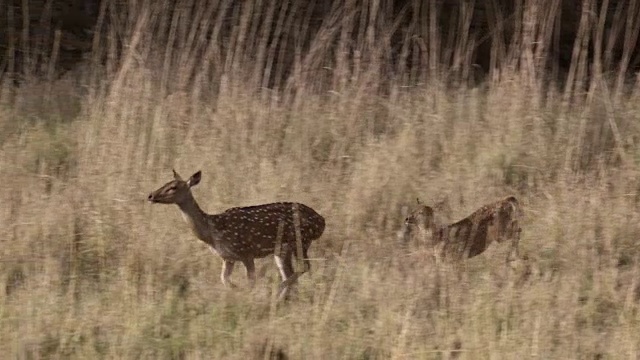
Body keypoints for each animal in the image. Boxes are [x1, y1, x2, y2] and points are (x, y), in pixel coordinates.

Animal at [146, 170, 324, 300]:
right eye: (165, 183)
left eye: (173, 187)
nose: (151, 195)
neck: (212, 232)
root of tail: (321, 222)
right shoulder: (228, 258)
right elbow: (224, 279)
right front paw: (236, 289)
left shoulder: (246, 252)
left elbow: (251, 281)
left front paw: (245, 295)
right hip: (281, 250)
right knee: (289, 272)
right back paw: (282, 298)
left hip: (301, 240)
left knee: (304, 267)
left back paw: (279, 292)